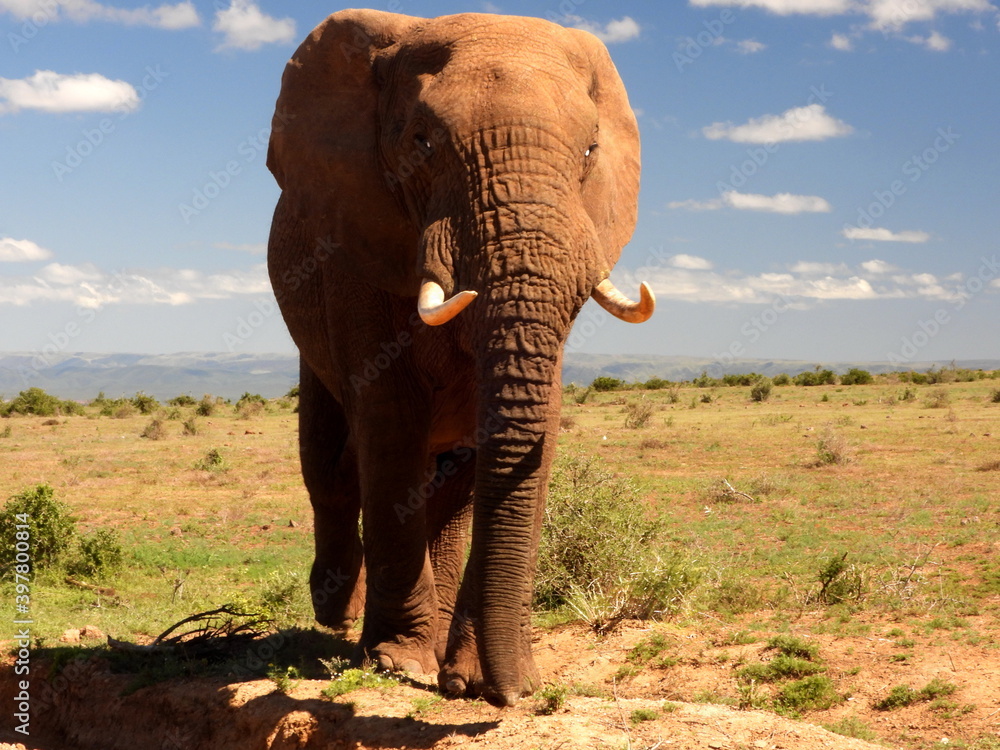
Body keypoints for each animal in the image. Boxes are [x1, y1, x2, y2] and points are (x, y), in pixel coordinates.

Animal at [265, 9, 654, 707]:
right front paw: (397, 662)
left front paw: (468, 677)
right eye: (422, 143)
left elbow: (521, 428)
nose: (518, 693)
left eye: (589, 151)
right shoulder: (355, 247)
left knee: (443, 486)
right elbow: (389, 420)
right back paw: (337, 614)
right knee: (332, 466)